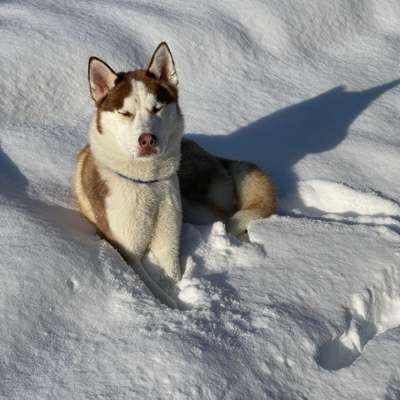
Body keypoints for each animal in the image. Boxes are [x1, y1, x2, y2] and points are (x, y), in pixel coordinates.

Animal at [74, 42, 276, 308]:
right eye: (125, 113)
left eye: (157, 108)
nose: (147, 139)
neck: (147, 183)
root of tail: (215, 156)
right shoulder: (127, 251)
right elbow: (154, 288)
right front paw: (174, 307)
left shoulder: (168, 240)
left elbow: (171, 273)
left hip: (197, 206)